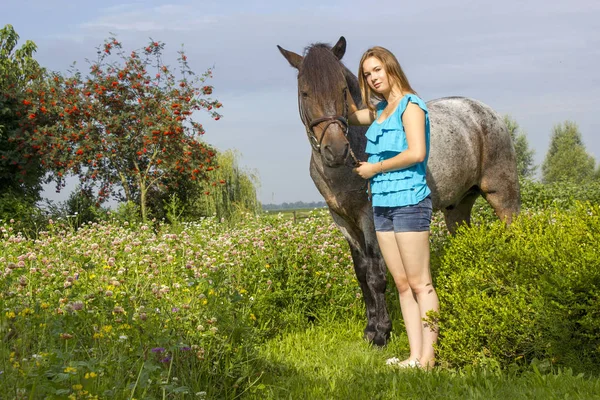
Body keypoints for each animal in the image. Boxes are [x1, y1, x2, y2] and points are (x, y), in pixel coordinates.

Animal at [278, 36, 516, 346]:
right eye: (304, 93)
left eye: (342, 90)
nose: (336, 150)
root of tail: (487, 112)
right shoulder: (341, 218)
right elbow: (360, 272)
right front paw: (370, 328)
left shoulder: (369, 216)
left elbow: (376, 273)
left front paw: (381, 332)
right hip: (458, 208)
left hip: (503, 194)